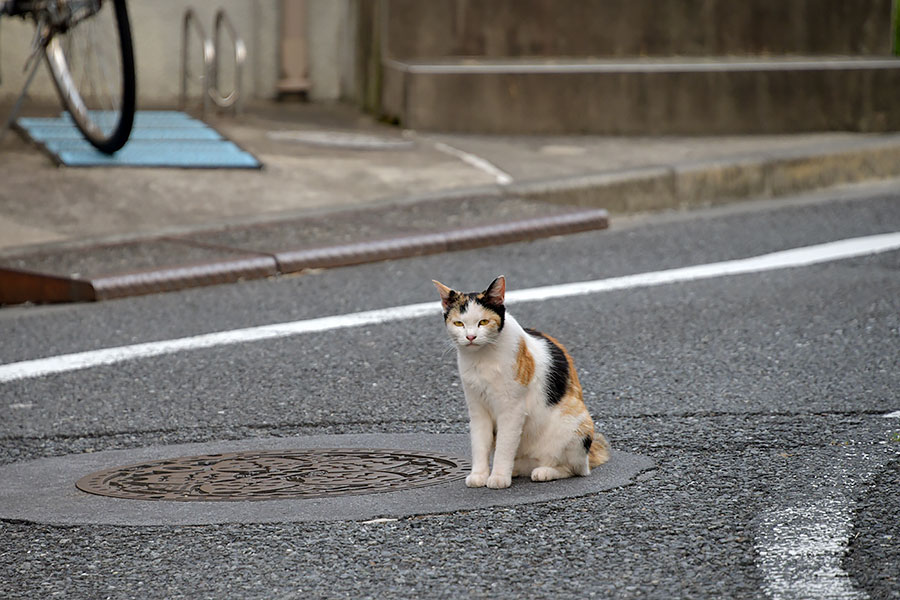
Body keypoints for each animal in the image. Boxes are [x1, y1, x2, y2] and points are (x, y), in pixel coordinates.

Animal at [432, 276, 608, 488]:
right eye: (459, 323)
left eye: (483, 322)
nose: (471, 337)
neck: (482, 360)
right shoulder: (477, 408)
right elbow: (479, 444)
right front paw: (479, 475)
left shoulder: (512, 409)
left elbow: (504, 446)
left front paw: (498, 477)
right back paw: (515, 470)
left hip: (575, 423)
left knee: (575, 469)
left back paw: (544, 471)